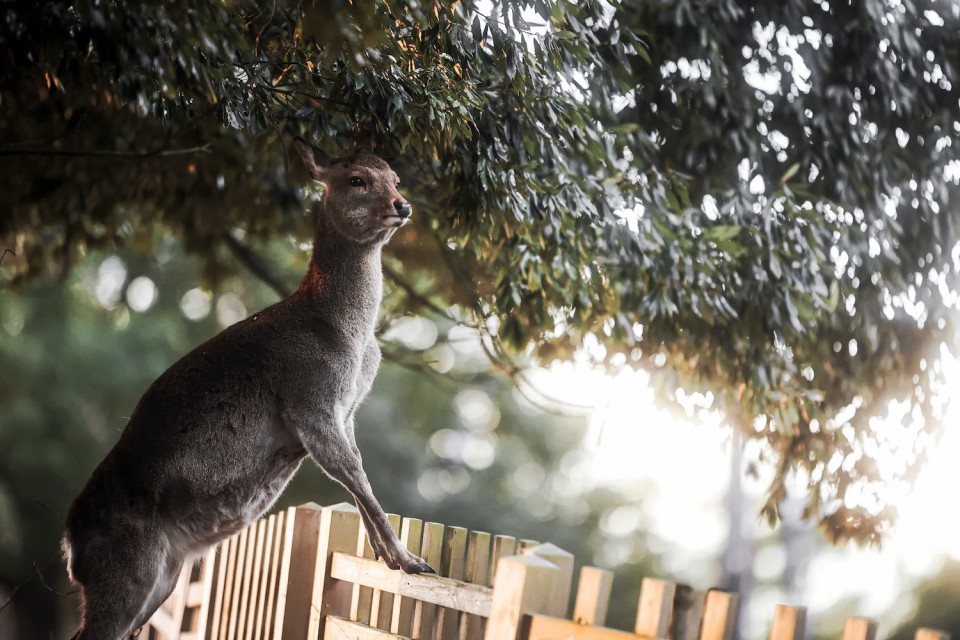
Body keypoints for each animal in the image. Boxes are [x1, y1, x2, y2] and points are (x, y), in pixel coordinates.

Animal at [62, 136, 434, 640]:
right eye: (357, 179)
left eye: (395, 177)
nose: (403, 204)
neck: (351, 337)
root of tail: (69, 547)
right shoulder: (310, 398)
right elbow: (354, 471)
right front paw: (410, 560)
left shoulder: (347, 408)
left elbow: (356, 473)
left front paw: (386, 555)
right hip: (125, 570)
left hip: (165, 575)